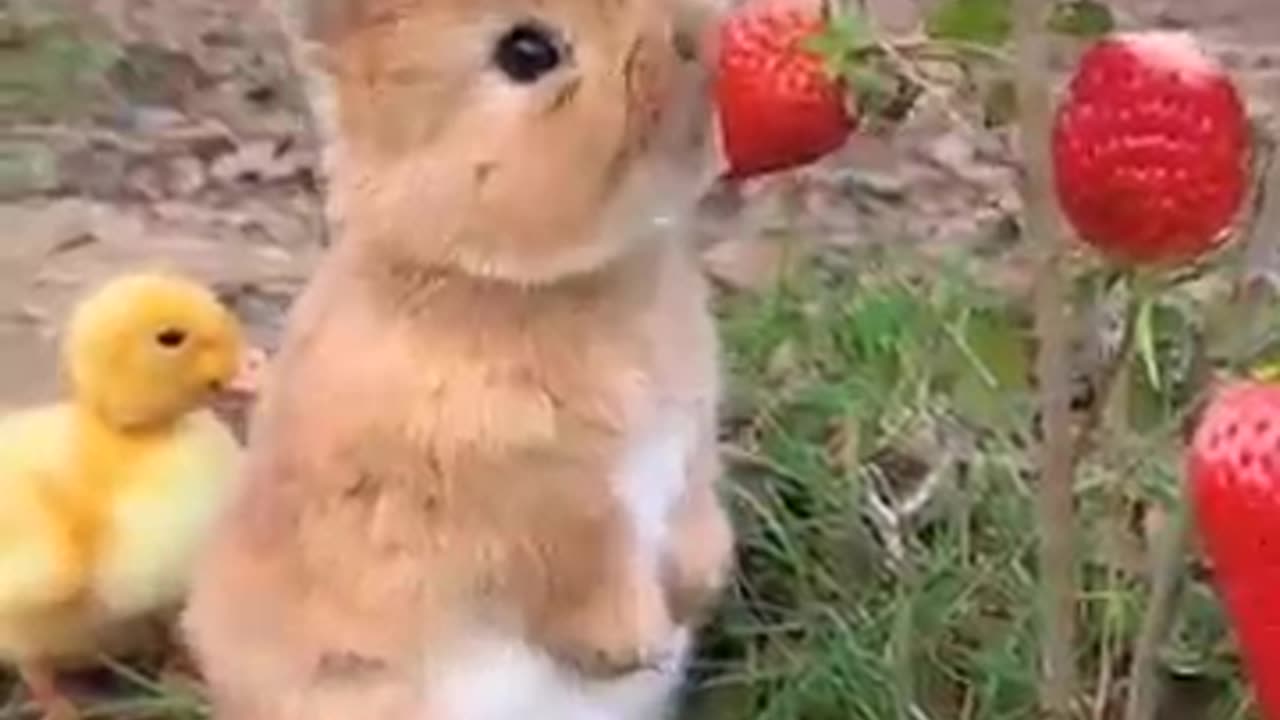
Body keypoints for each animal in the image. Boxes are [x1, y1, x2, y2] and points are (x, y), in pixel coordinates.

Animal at [184, 0, 737, 712]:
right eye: (526, 52)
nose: (698, 44)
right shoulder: (528, 503)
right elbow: (577, 568)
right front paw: (632, 645)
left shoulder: (686, 443)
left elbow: (694, 514)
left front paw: (700, 586)